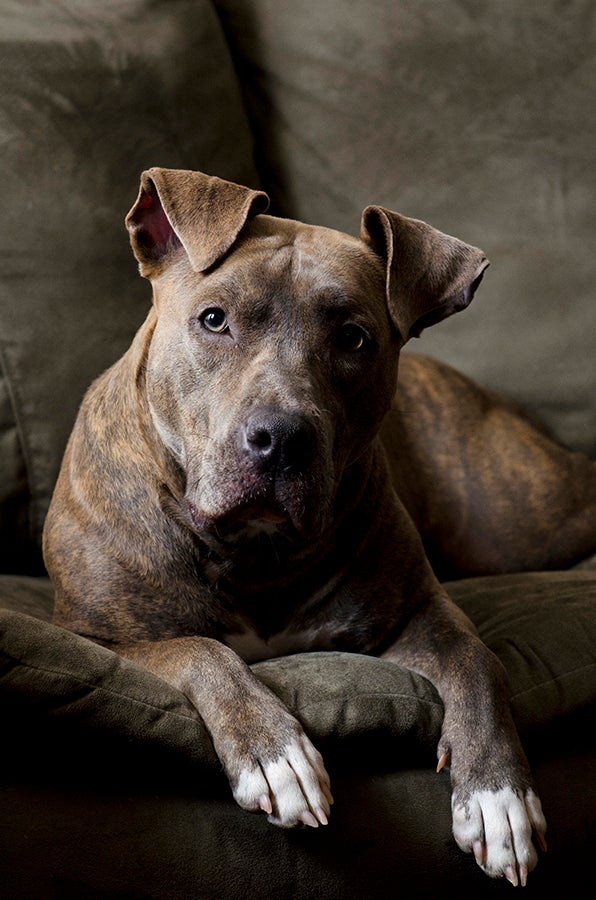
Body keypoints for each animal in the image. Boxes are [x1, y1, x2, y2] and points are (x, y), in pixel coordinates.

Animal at [44, 167, 596, 884]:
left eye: (353, 338)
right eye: (214, 319)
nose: (281, 438)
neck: (254, 550)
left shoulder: (416, 612)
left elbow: (478, 662)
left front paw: (499, 794)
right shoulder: (99, 637)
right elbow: (200, 650)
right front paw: (273, 752)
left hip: (520, 518)